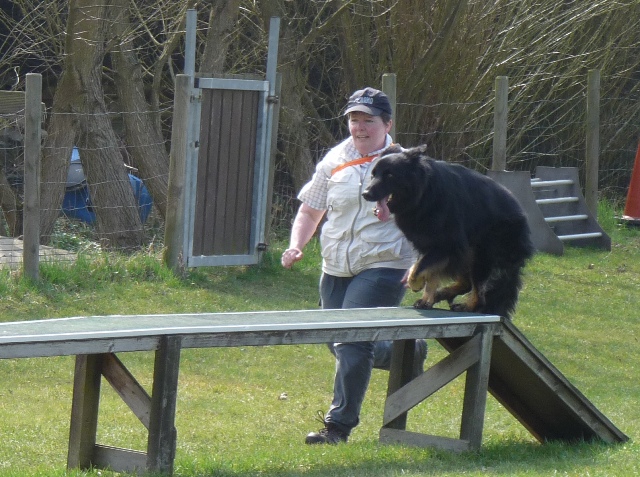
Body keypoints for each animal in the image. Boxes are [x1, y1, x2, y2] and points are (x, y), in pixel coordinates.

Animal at [362, 145, 534, 319]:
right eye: (373, 174)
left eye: (390, 175)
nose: (365, 194)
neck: (423, 194)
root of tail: (523, 218)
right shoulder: (429, 246)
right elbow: (427, 272)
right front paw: (427, 300)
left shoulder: (447, 246)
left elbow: (419, 269)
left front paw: (416, 284)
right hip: (468, 254)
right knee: (467, 284)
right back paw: (442, 294)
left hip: (481, 256)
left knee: (480, 295)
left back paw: (466, 306)